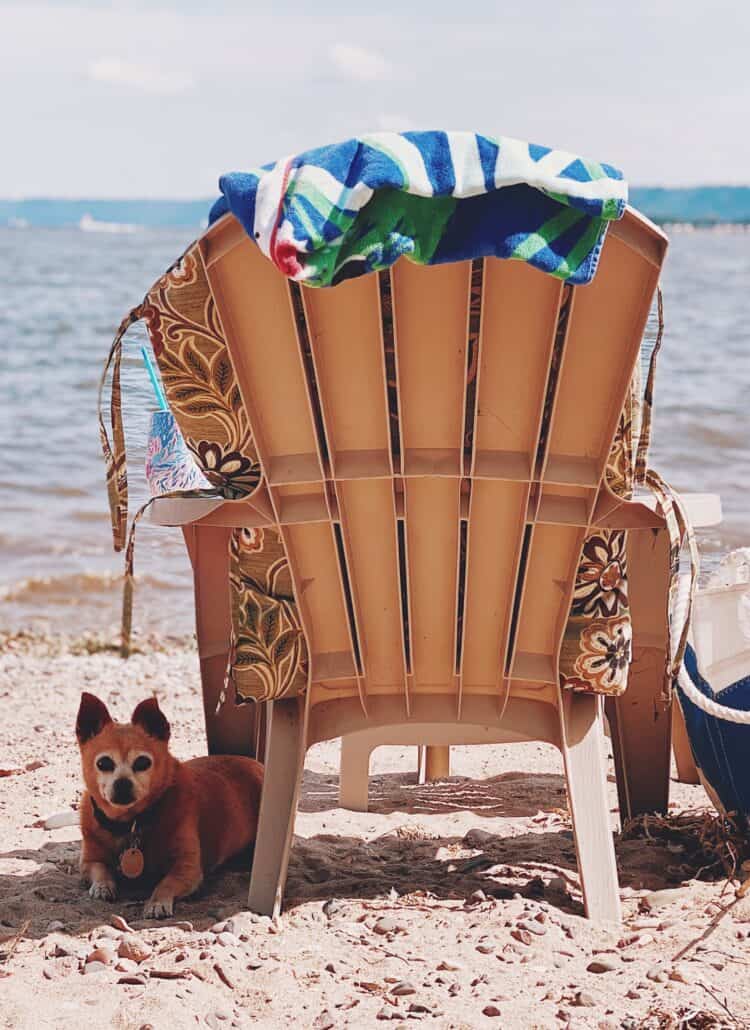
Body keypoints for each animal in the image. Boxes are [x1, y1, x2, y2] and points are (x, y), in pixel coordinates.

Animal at [76, 692, 263, 918]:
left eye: (143, 763)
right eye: (103, 763)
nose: (122, 783)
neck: (129, 823)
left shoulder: (187, 869)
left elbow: (166, 882)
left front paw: (157, 902)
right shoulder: (88, 862)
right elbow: (100, 869)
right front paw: (103, 886)